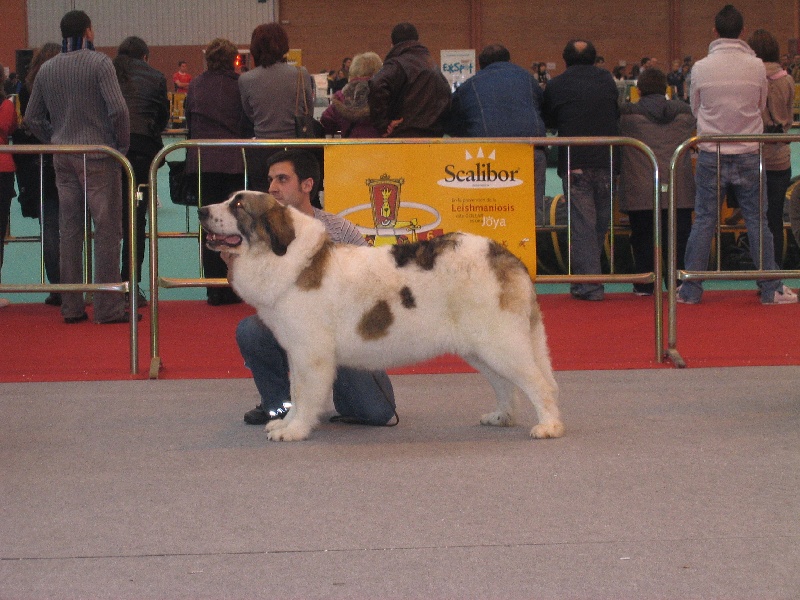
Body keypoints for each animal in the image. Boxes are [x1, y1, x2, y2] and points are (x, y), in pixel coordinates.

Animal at [200, 192, 564, 440]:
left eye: (238, 205)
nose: (203, 211)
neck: (289, 258)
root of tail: (506, 256)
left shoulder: (309, 354)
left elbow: (304, 393)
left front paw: (296, 429)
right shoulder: (296, 353)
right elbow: (295, 389)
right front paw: (286, 423)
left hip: (500, 343)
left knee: (538, 383)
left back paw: (549, 426)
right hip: (481, 349)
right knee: (505, 384)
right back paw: (502, 416)